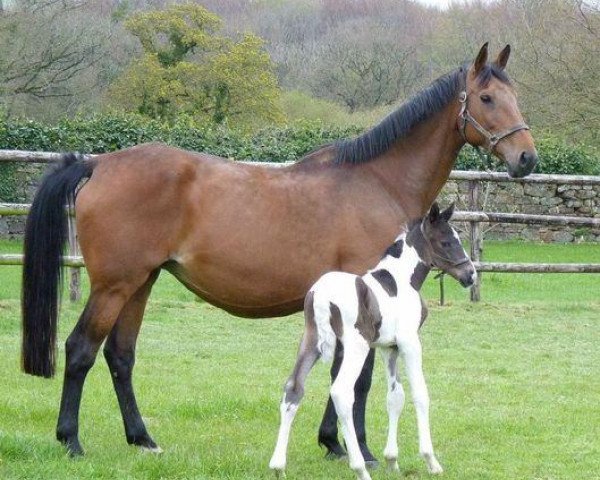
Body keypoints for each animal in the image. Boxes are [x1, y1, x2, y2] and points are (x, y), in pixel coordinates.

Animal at [270, 202, 476, 480]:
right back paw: (359, 467)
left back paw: (278, 466)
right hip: (355, 347)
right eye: (446, 242)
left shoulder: (389, 348)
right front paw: (431, 461)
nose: (470, 275)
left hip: (310, 342)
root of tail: (322, 295)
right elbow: (420, 393)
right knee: (341, 391)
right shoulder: (410, 343)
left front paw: (392, 461)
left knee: (293, 388)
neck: (400, 281)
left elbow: (395, 396)